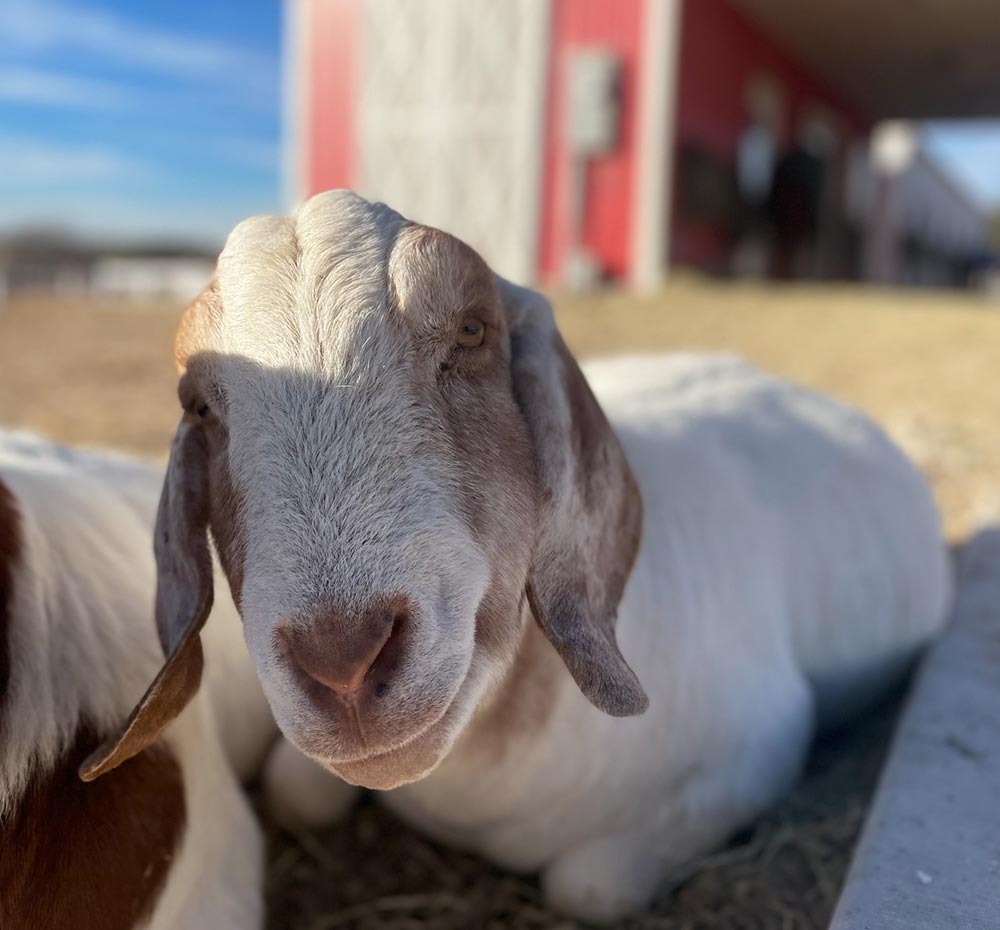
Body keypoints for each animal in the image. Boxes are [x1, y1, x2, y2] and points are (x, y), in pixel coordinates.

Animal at [92, 191, 951, 922]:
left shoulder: (760, 745)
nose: (342, 660)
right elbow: (294, 790)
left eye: (473, 332)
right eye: (198, 405)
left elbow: (590, 885)